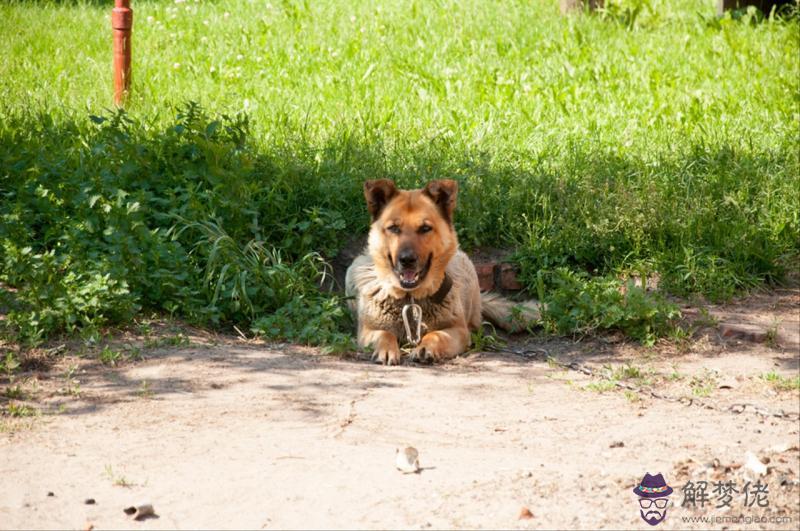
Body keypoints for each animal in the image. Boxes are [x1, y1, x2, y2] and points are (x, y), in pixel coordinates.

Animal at [344, 180, 536, 366]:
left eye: (425, 228)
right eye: (393, 228)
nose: (407, 260)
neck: (411, 298)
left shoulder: (458, 331)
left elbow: (436, 334)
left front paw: (426, 347)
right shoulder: (367, 331)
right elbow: (385, 334)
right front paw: (387, 350)